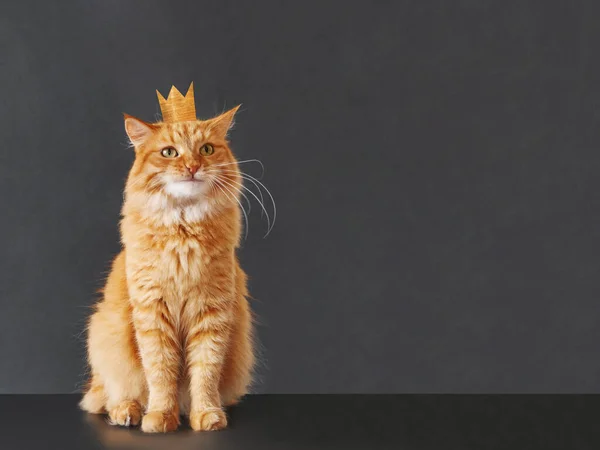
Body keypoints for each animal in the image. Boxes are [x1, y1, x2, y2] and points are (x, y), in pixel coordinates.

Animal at [79, 105, 253, 432]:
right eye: (169, 152)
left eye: (206, 149)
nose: (192, 166)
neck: (183, 231)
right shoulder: (153, 314)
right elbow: (160, 372)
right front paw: (160, 416)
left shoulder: (212, 314)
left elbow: (205, 373)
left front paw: (206, 415)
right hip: (106, 339)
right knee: (111, 394)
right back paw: (127, 412)